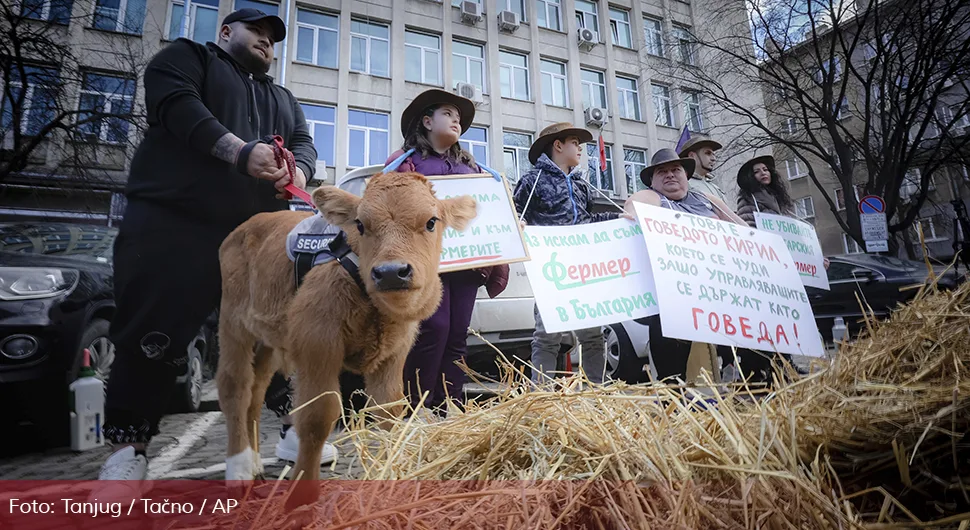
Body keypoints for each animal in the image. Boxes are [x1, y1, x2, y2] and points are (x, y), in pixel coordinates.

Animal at [215, 171, 472, 506]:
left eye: (431, 222)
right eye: (360, 224)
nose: (392, 272)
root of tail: (245, 227)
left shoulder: (394, 353)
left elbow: (388, 411)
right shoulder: (316, 344)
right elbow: (317, 416)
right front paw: (301, 494)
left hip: (267, 340)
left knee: (255, 393)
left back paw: (255, 464)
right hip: (233, 324)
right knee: (234, 387)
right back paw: (239, 471)